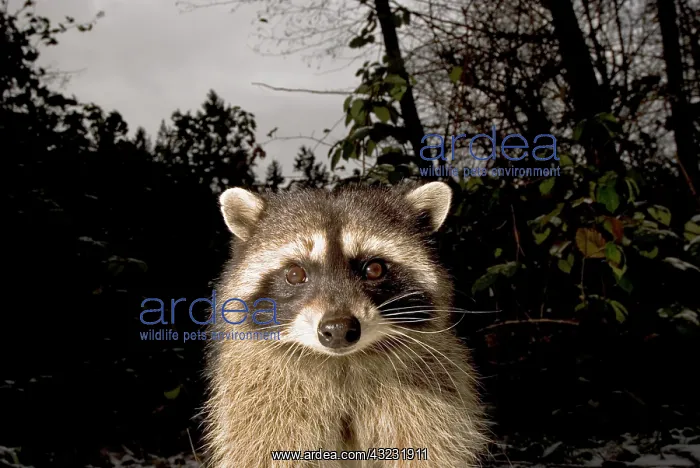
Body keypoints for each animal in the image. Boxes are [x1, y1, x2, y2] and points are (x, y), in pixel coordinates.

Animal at [203, 181, 487, 467]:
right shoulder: (261, 402)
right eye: (295, 274)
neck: (342, 363)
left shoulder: (431, 397)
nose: (339, 329)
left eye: (374, 269)